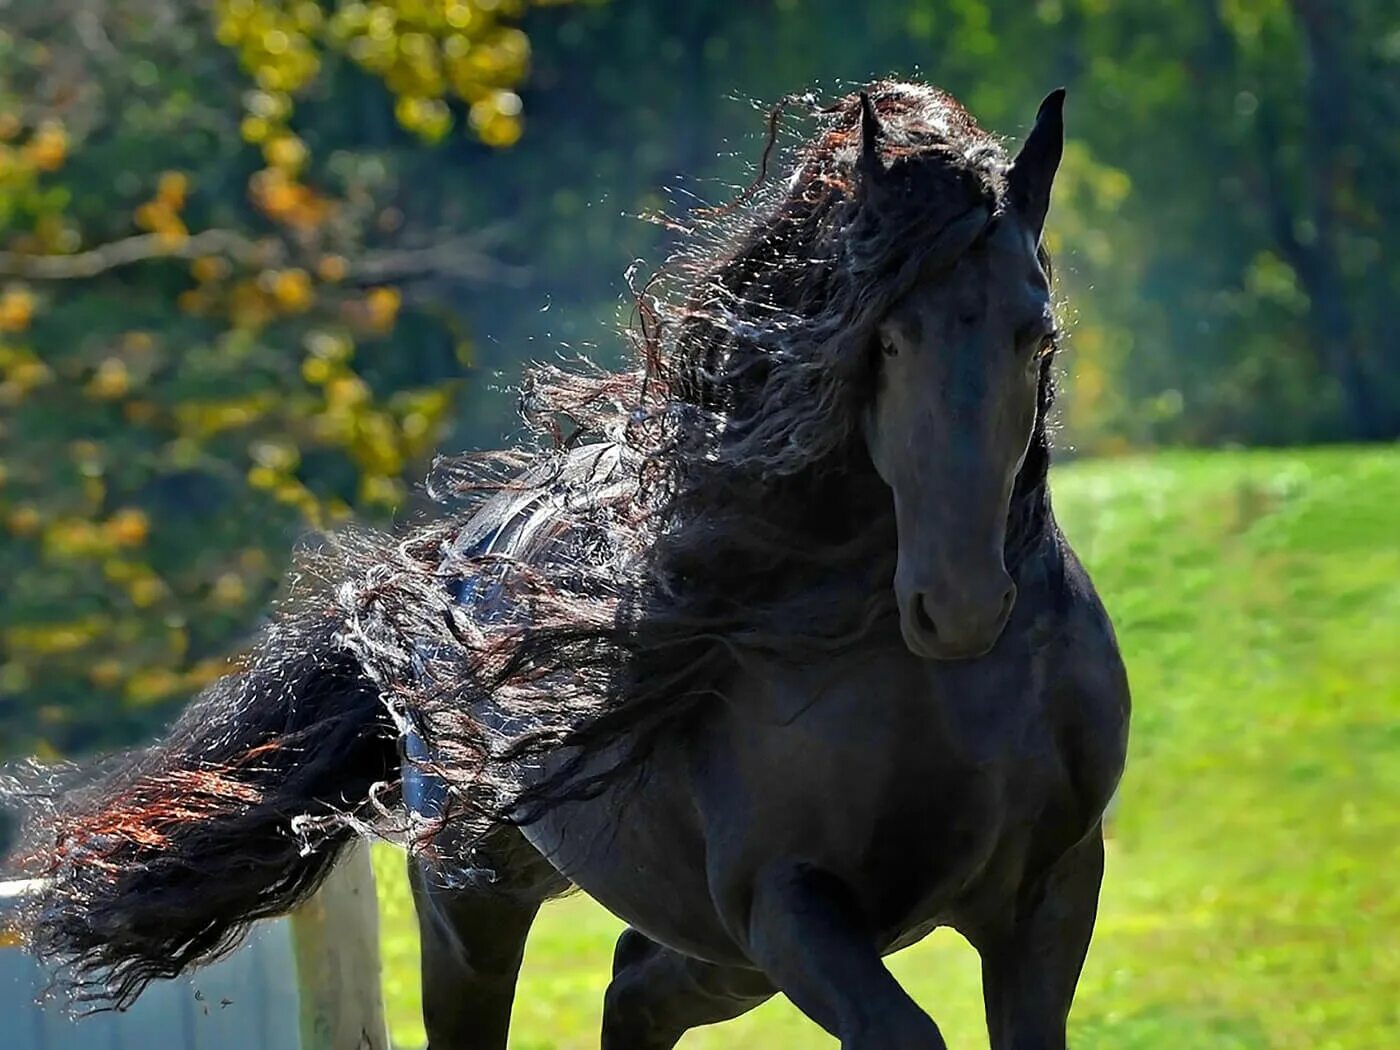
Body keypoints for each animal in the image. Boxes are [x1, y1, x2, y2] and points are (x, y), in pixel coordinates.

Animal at [2, 84, 1125, 1050]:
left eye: (1035, 336)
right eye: (886, 340)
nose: (959, 604)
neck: (941, 700)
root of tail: (445, 563)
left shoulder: (1048, 895)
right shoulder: (790, 904)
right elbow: (902, 1030)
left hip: (712, 952)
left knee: (634, 993)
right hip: (484, 905)